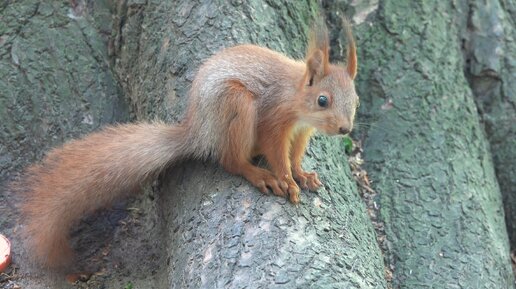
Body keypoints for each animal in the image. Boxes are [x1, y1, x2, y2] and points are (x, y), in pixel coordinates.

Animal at [16, 19, 358, 268]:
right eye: (323, 100)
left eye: (354, 100)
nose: (345, 129)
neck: (296, 97)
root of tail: (198, 132)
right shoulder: (275, 120)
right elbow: (277, 153)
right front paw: (286, 180)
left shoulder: (301, 131)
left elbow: (296, 156)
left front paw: (303, 174)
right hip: (235, 104)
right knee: (231, 161)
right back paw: (258, 174)